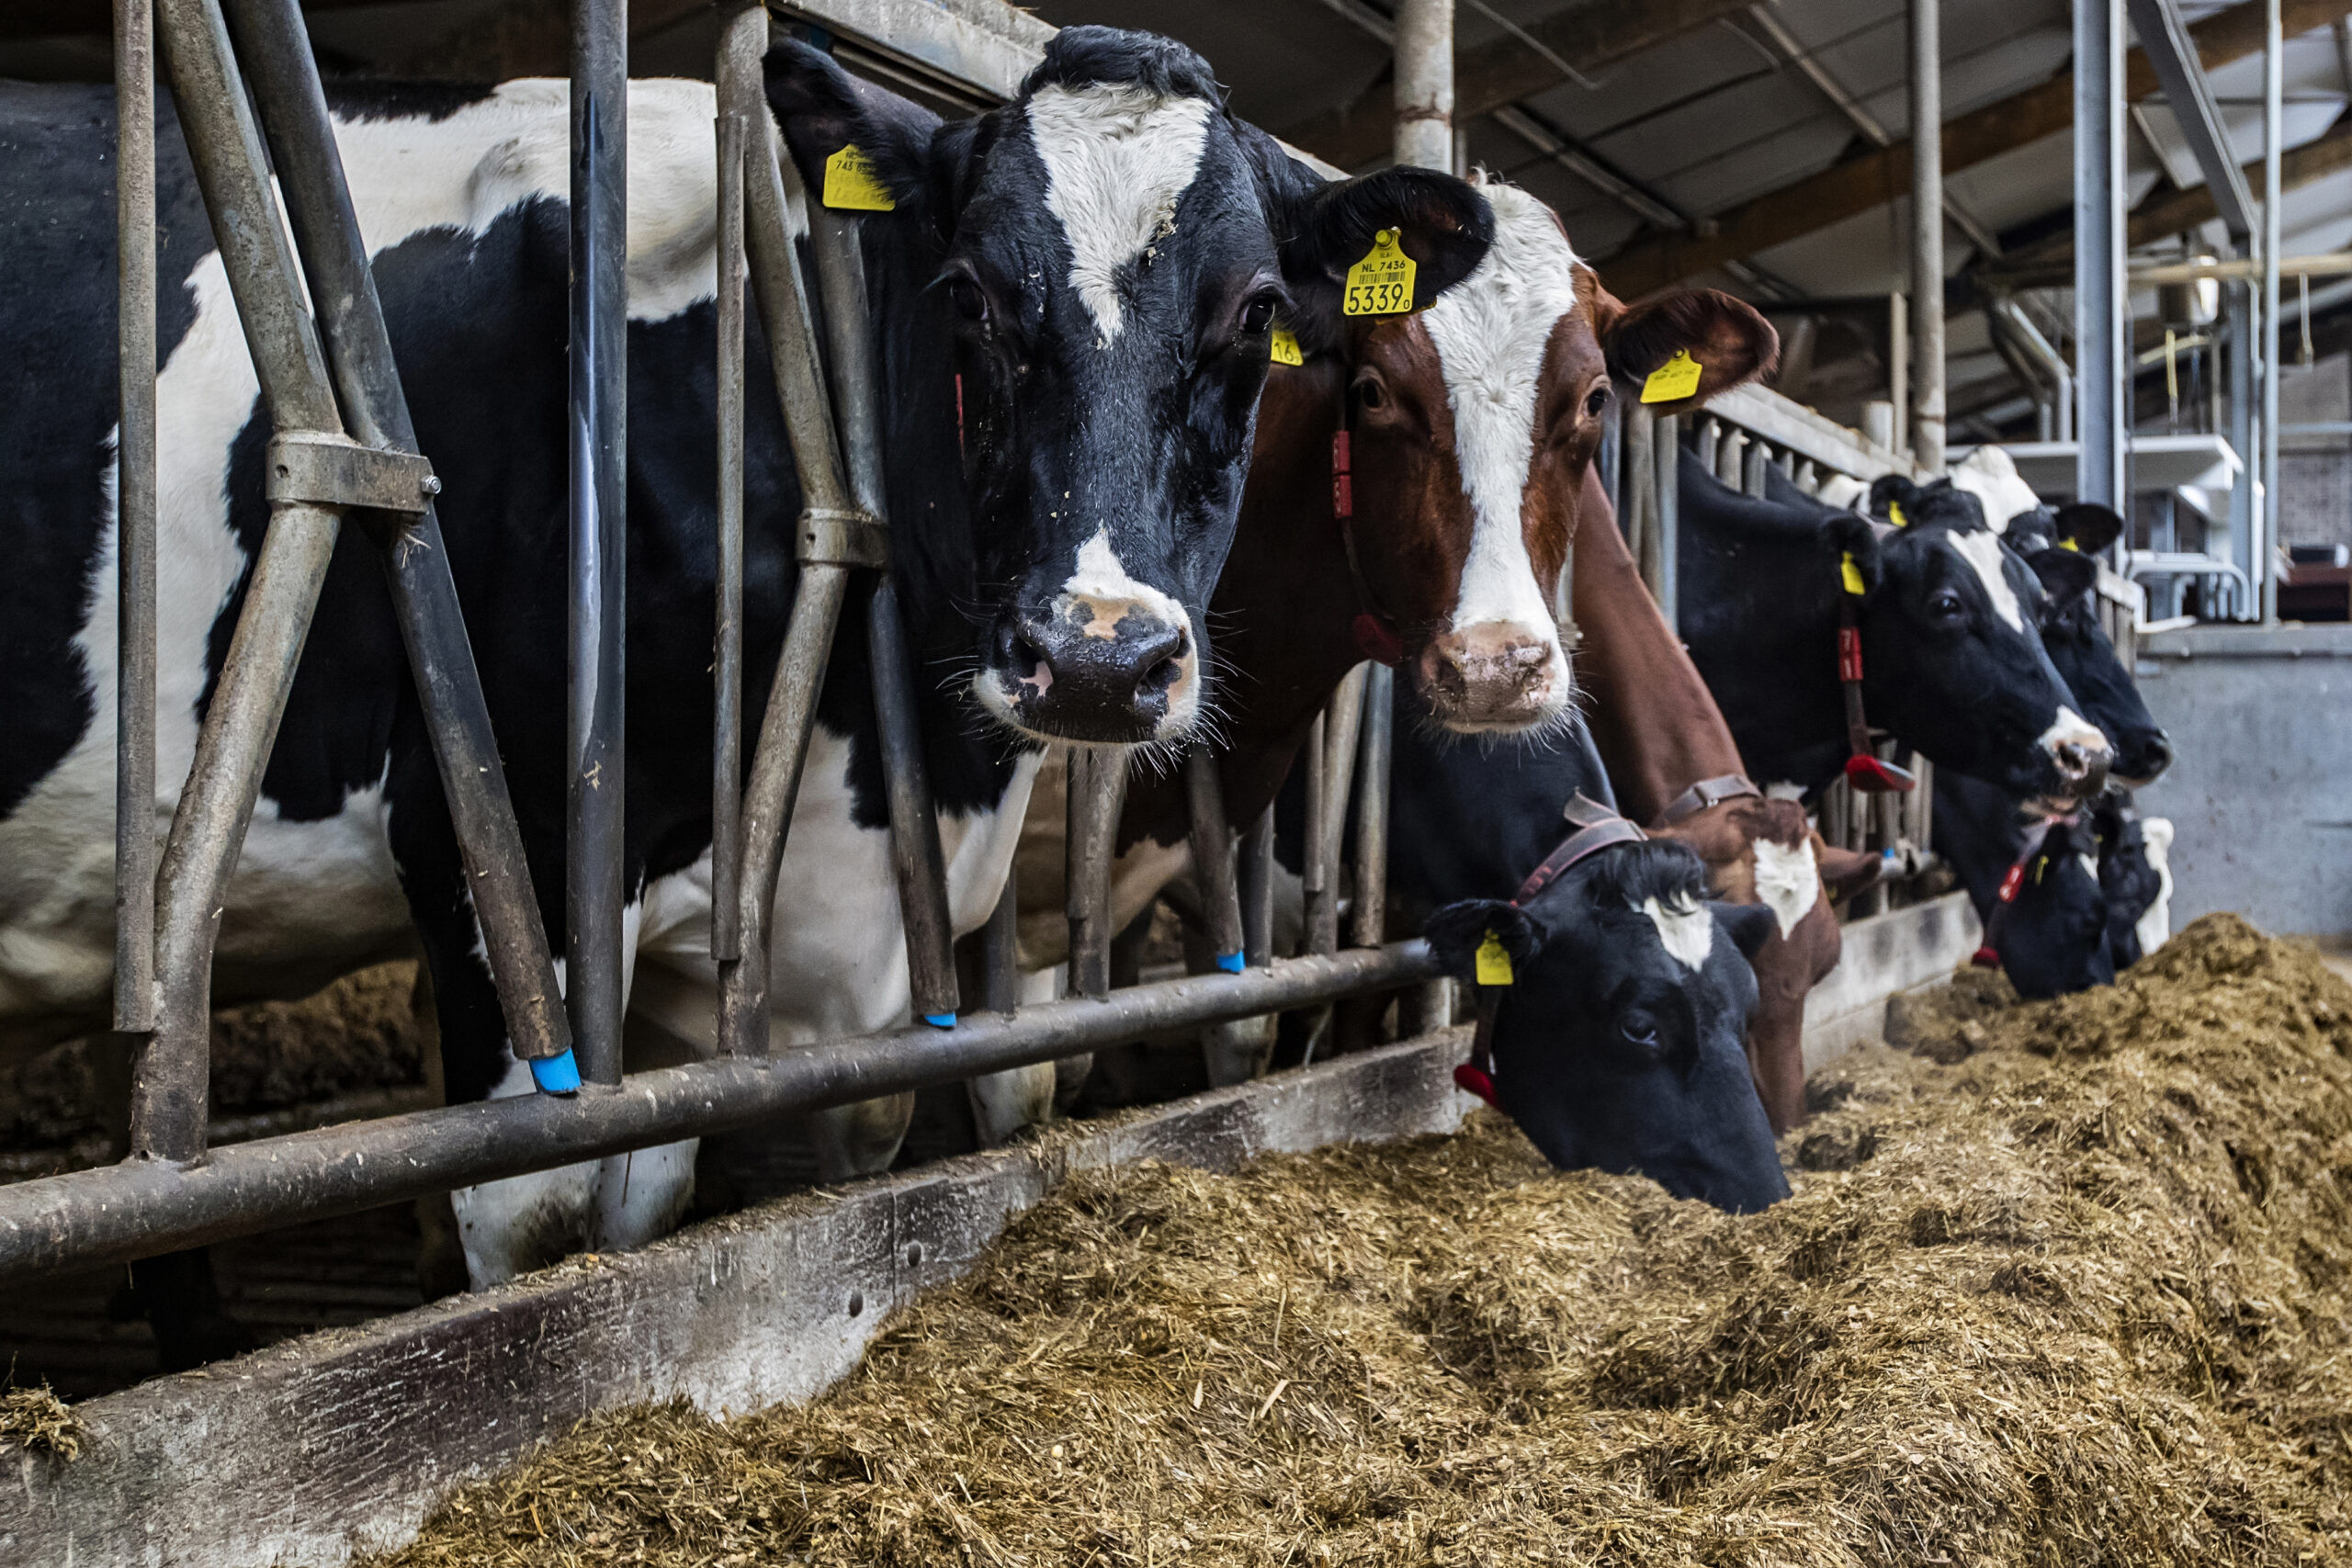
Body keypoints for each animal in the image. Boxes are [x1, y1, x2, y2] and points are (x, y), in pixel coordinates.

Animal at [0, 30, 1486, 1288]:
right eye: (970, 295)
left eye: (1254, 316)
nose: (1096, 662)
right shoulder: (496, 855)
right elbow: (537, 1216)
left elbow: (670, 1186)